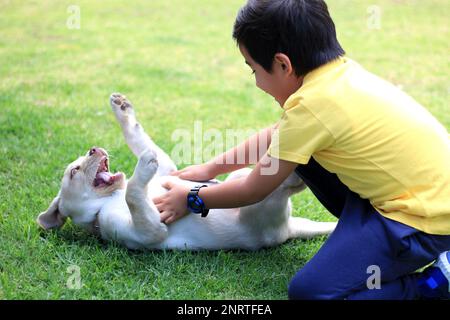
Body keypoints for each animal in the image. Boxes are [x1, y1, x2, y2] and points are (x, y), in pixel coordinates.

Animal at [37, 94, 336, 251]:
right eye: (74, 171)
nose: (94, 149)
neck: (109, 198)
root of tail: (287, 229)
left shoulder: (169, 170)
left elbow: (136, 137)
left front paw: (122, 110)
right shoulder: (146, 232)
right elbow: (135, 193)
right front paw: (143, 163)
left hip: (240, 179)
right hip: (257, 203)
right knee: (280, 184)